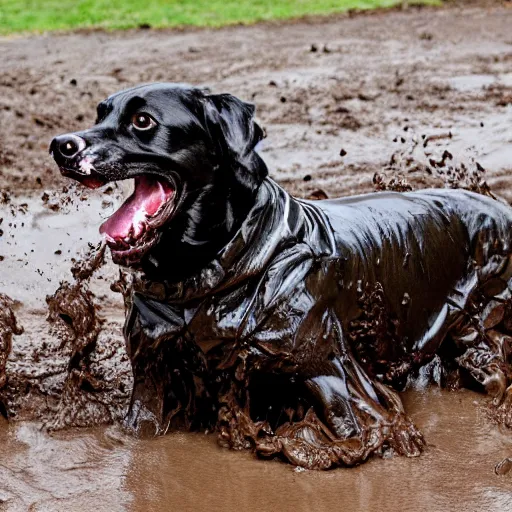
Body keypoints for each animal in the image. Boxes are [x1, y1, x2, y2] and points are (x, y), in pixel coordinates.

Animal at [51, 83, 512, 468]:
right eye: (100, 113)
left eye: (142, 121)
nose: (61, 145)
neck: (206, 269)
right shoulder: (152, 374)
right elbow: (140, 430)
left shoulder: (331, 376)